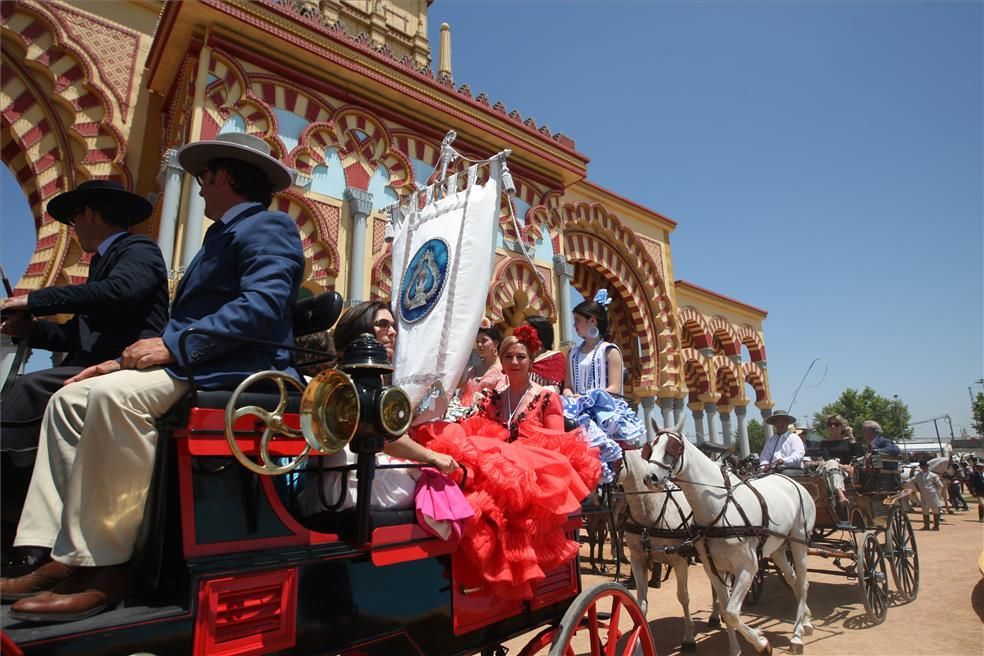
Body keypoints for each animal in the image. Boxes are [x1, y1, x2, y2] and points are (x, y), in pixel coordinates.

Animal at [624, 446, 724, 652]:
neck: (651, 509)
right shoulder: (638, 559)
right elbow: (641, 603)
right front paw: (638, 644)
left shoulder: (679, 559)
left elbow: (683, 597)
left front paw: (689, 639)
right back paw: (714, 616)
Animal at [640, 422, 820, 652]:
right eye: (651, 447)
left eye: (672, 447)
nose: (650, 477)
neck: (719, 508)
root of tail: (792, 482)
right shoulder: (713, 569)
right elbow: (726, 611)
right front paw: (736, 649)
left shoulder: (748, 568)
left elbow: (733, 613)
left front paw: (762, 643)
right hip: (779, 548)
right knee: (794, 580)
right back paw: (805, 621)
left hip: (799, 542)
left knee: (804, 583)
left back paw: (797, 635)